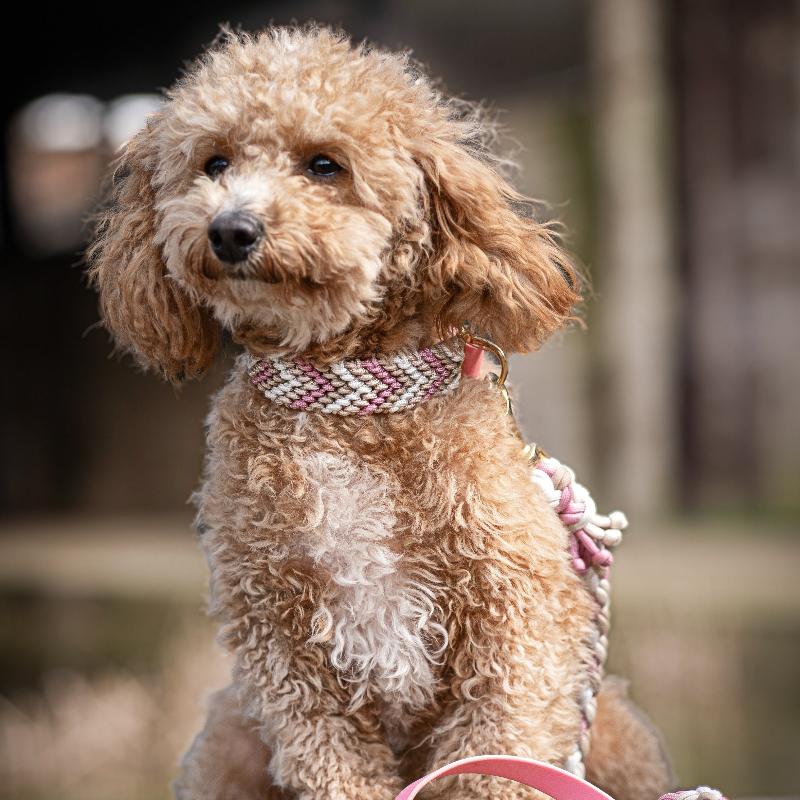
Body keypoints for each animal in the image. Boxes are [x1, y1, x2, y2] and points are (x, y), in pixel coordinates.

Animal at [87, 25, 672, 800]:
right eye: (214, 163)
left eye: (324, 165)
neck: (345, 401)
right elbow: (328, 758)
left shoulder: (516, 624)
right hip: (226, 743)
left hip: (615, 732)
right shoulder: (281, 641)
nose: (230, 229)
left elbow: (492, 754)